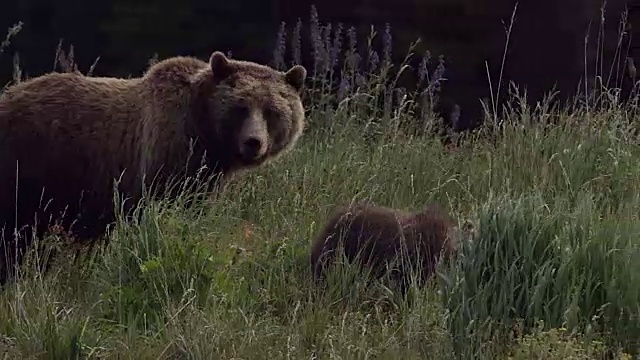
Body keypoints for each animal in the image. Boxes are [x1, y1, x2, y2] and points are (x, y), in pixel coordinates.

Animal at [0, 50, 308, 284]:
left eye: (272, 111)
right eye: (240, 107)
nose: (254, 142)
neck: (204, 133)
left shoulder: (202, 179)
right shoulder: (160, 160)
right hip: (29, 165)